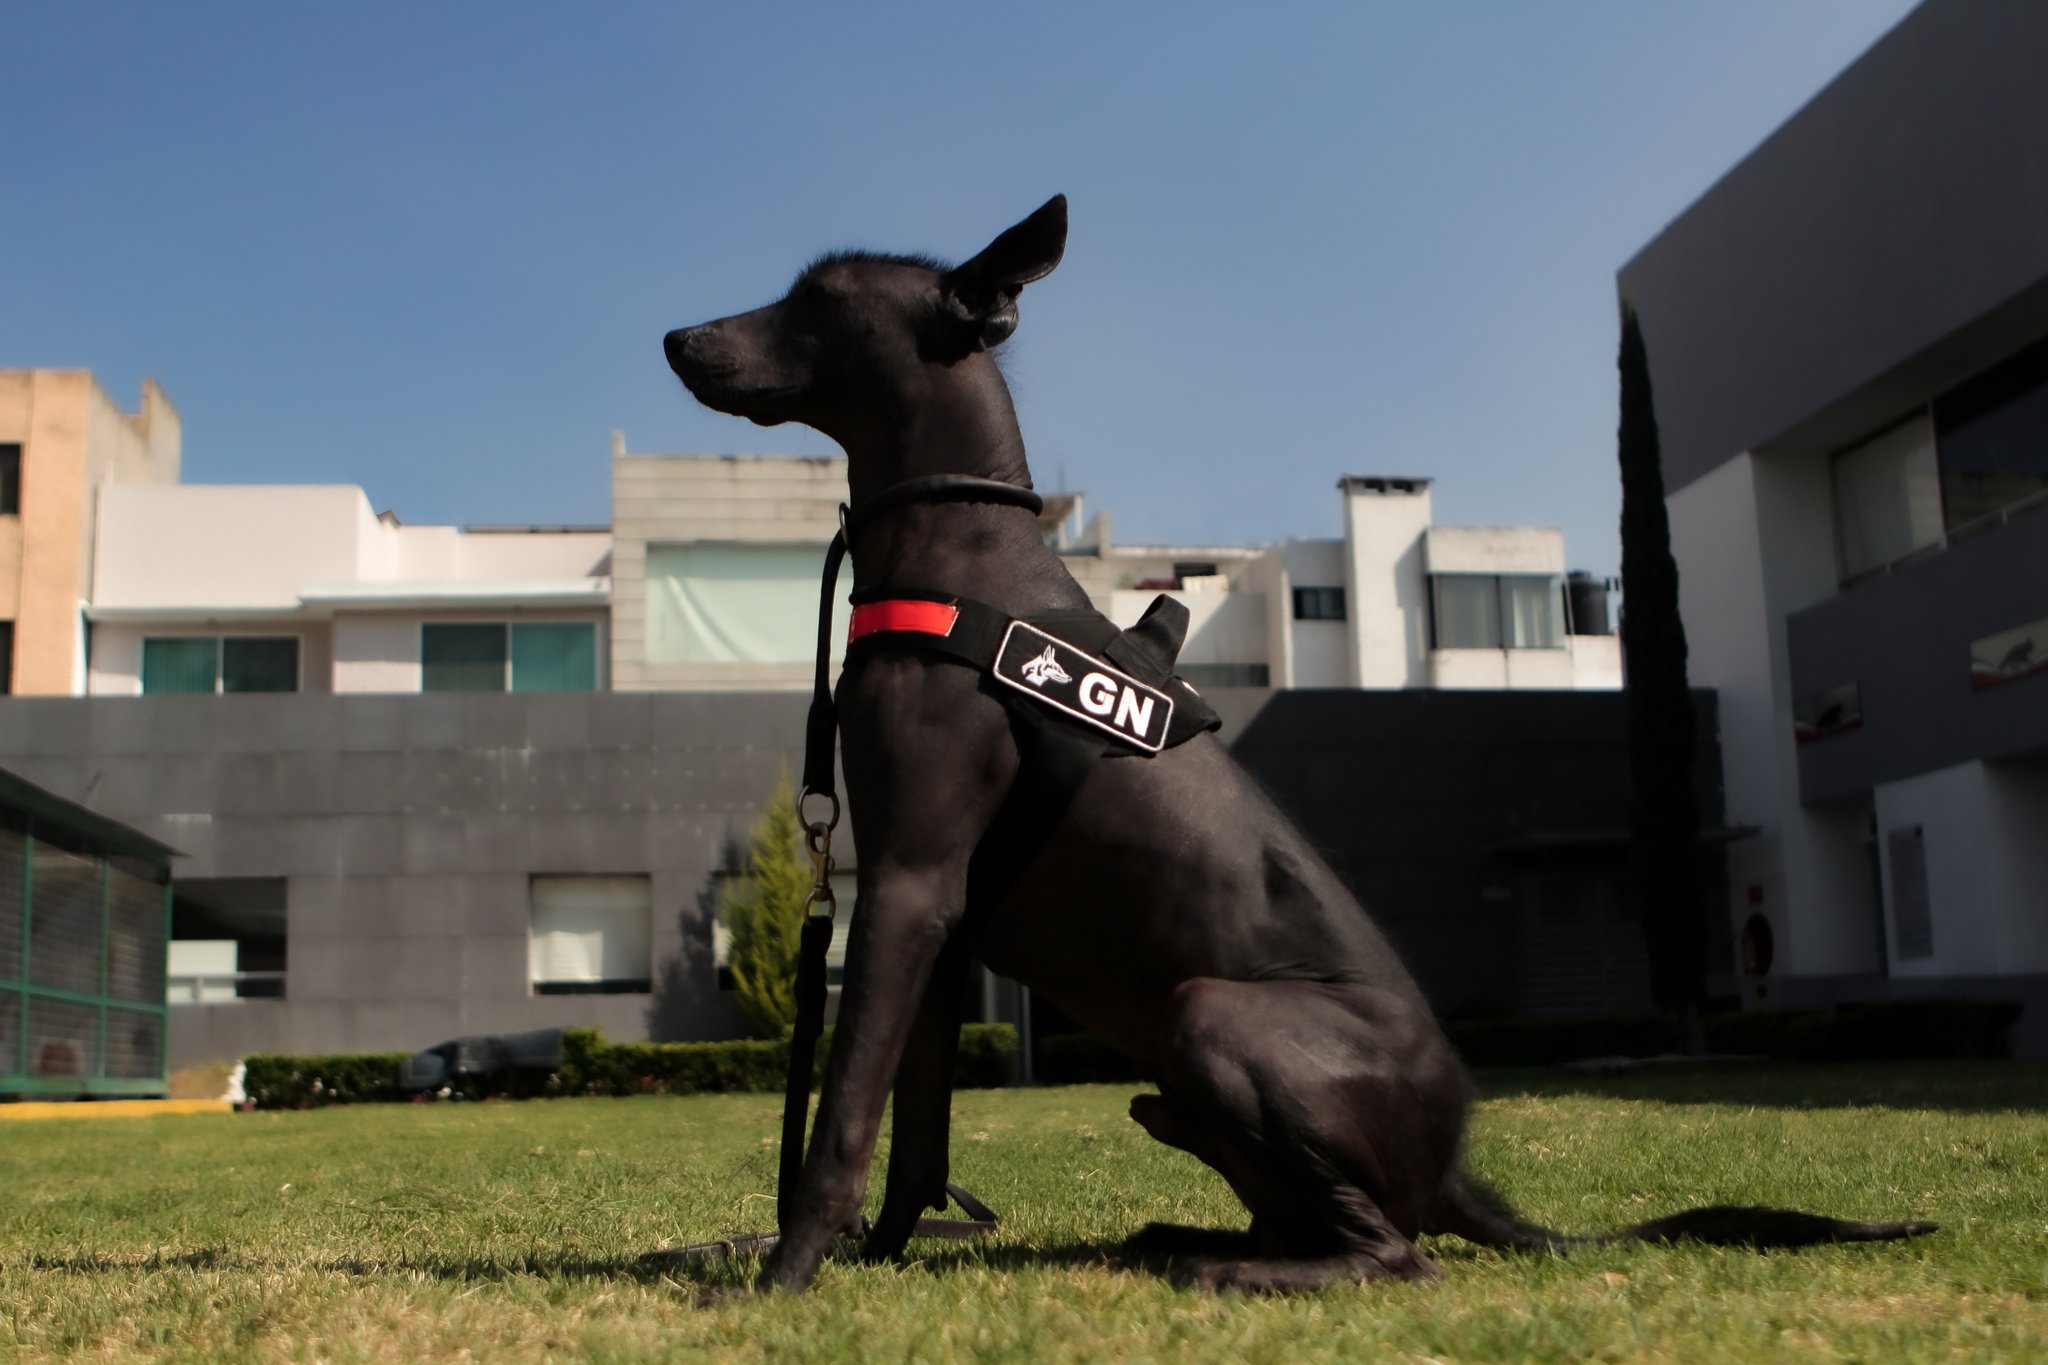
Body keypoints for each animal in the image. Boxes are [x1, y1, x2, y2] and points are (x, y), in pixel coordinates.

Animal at [667, 197, 1933, 1301]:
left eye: (814, 301)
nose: (676, 335)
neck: (961, 550)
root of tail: (1454, 1169)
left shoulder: (906, 887)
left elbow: (840, 1119)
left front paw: (782, 1276)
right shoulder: (932, 919)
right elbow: (912, 1137)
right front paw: (871, 1260)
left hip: (1212, 1019)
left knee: (1395, 1253)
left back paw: (1234, 1266)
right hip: (1174, 1090)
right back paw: (1187, 1237)